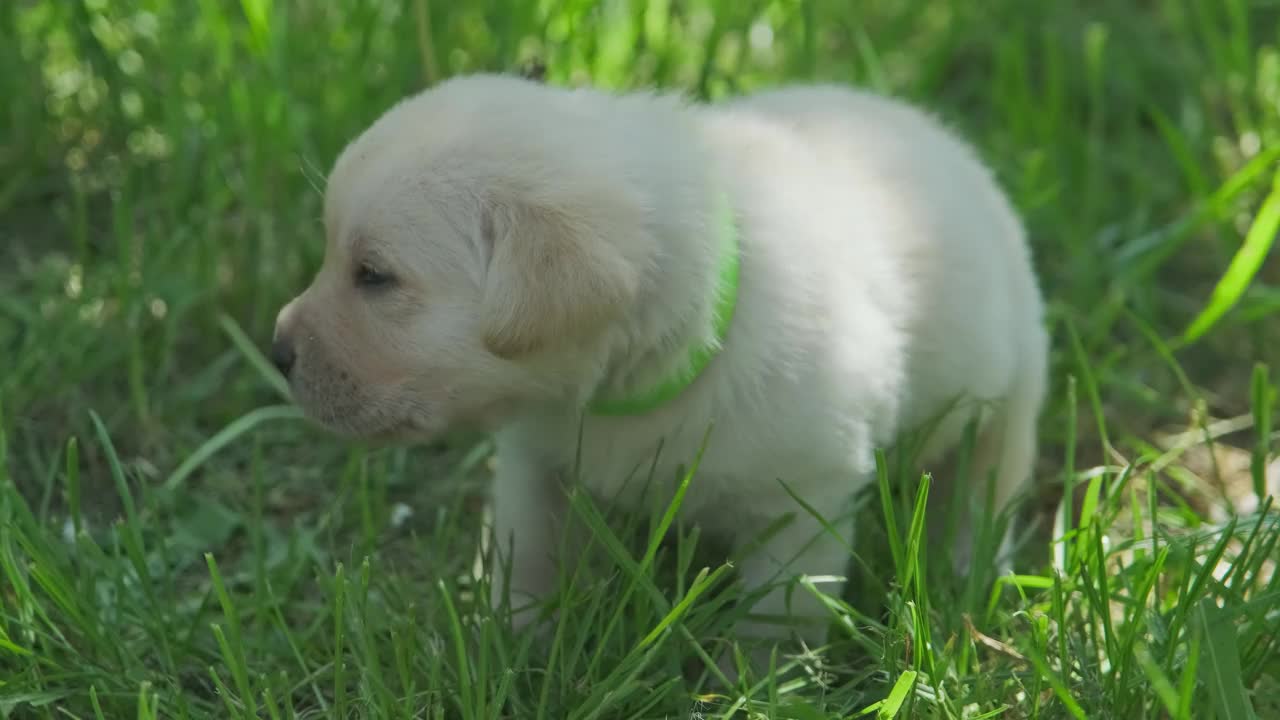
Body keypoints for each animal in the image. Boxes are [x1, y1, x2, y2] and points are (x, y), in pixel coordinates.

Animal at [272, 73, 1049, 661]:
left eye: (375, 276)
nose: (277, 350)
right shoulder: (535, 460)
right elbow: (529, 553)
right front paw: (511, 646)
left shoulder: (804, 500)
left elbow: (776, 615)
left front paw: (757, 686)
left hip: (1007, 399)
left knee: (980, 491)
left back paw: (967, 576)